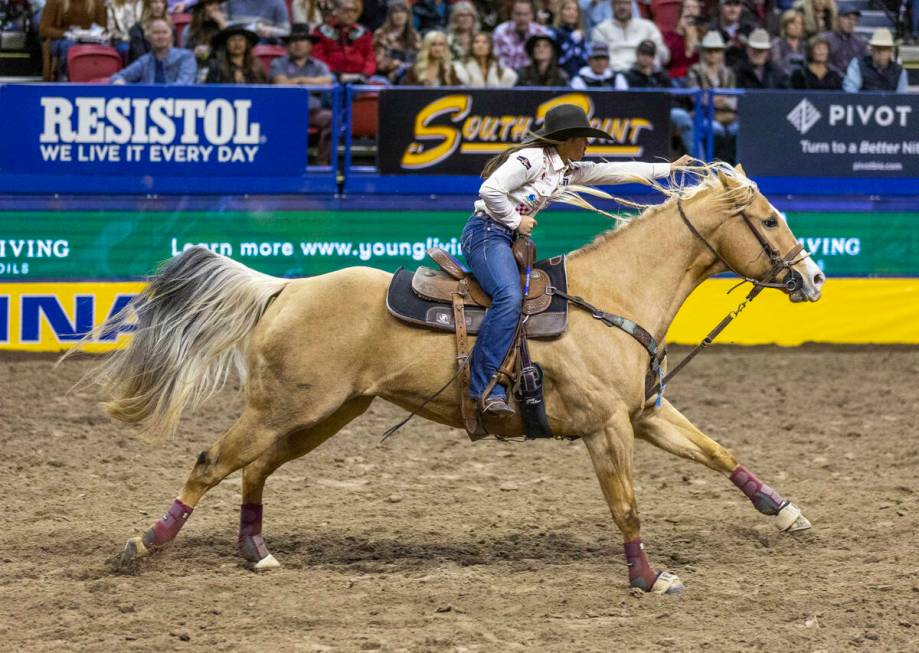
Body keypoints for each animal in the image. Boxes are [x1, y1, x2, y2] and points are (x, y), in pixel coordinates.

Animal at [97, 163, 824, 592]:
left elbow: (716, 451)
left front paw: (785, 511)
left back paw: (255, 549)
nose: (813, 277)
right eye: (767, 220)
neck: (611, 296)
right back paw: (143, 544)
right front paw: (649, 578)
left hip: (323, 413)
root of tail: (286, 288)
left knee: (253, 468)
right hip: (287, 409)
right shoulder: (606, 426)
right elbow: (627, 504)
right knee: (210, 460)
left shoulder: (643, 412)